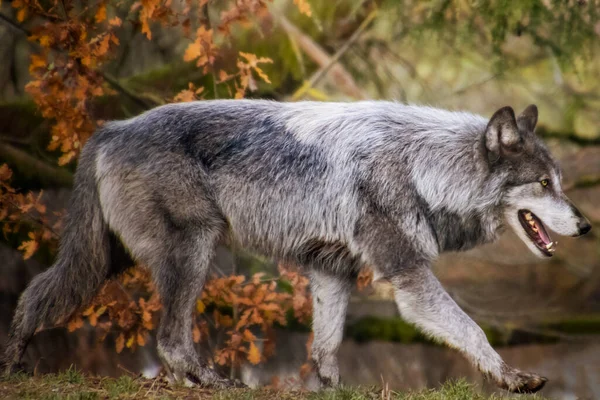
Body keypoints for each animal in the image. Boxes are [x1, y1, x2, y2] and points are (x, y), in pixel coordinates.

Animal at [1, 99, 592, 390]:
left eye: (560, 182)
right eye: (544, 184)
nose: (586, 227)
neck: (421, 167)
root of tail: (109, 128)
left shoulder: (333, 272)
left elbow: (325, 345)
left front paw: (332, 389)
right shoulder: (406, 276)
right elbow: (473, 330)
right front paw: (511, 378)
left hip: (104, 261)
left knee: (35, 295)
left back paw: (13, 364)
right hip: (192, 252)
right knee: (169, 340)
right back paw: (209, 381)